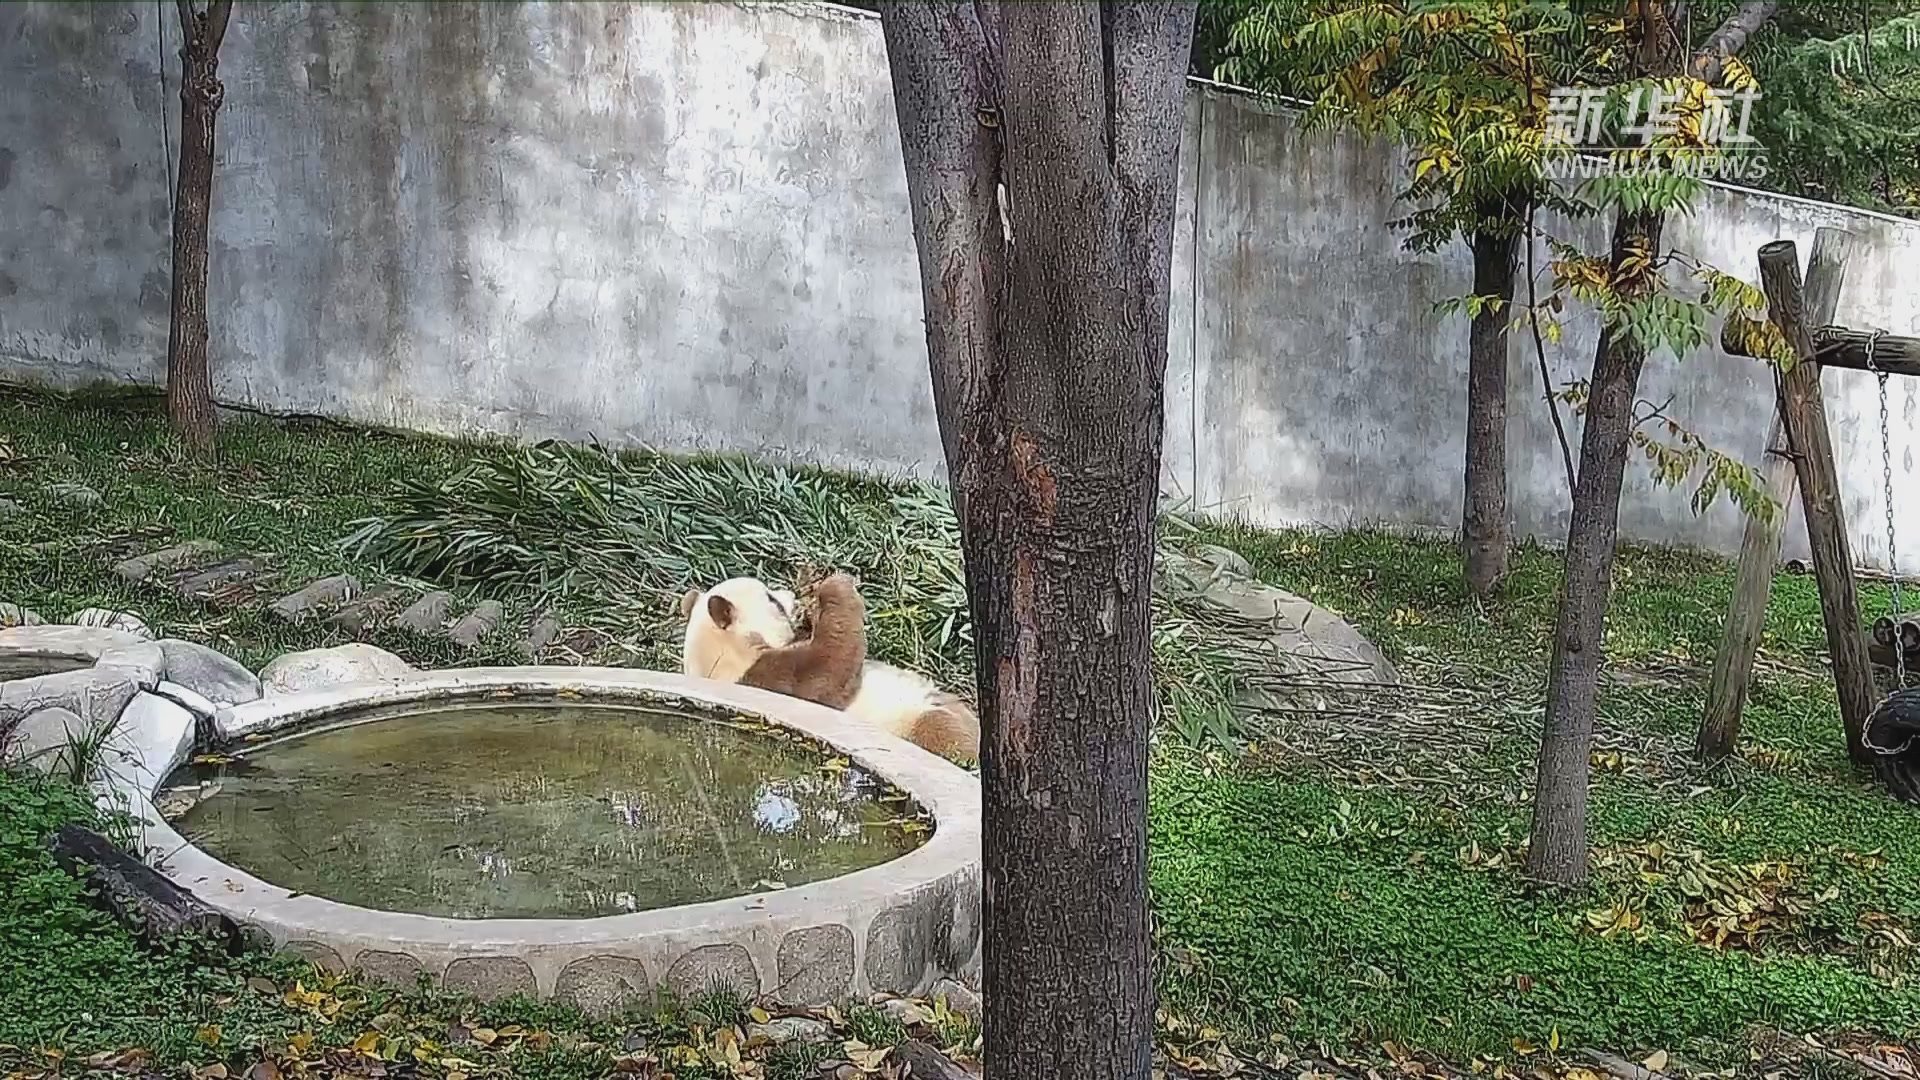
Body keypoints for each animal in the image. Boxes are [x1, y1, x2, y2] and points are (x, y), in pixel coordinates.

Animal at [678, 574, 981, 765]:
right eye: (772, 600)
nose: (790, 594)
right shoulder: (767, 680)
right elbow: (828, 666)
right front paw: (833, 586)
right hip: (907, 724)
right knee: (946, 736)